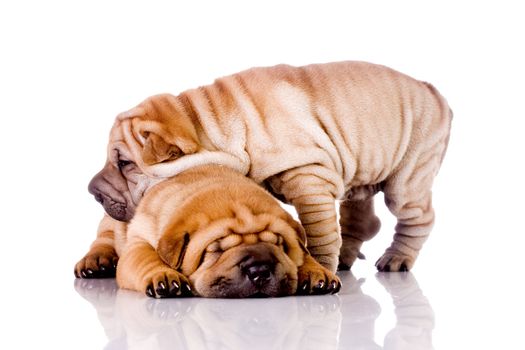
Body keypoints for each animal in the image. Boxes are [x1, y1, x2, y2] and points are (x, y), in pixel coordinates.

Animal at [77, 60, 450, 276]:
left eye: (125, 163)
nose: (92, 191)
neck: (211, 120)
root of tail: (432, 90)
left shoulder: (309, 178)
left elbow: (318, 234)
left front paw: (317, 270)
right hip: (363, 171)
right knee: (362, 217)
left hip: (410, 175)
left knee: (418, 217)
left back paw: (396, 260)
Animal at [78, 165, 340, 296]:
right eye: (215, 250)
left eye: (278, 244)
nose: (259, 269)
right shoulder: (139, 241)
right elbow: (145, 257)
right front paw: (165, 276)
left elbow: (303, 254)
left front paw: (317, 272)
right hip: (109, 226)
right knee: (103, 240)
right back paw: (95, 261)